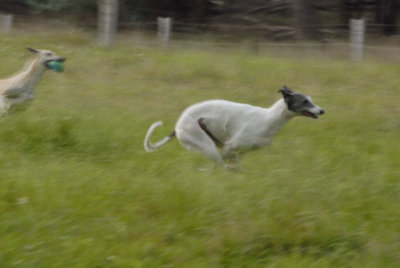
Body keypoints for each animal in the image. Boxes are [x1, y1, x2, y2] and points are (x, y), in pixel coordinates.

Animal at [145, 86, 324, 168]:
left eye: (311, 100)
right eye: (304, 101)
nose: (322, 111)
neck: (268, 119)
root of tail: (178, 125)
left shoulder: (238, 153)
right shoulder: (230, 147)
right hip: (207, 146)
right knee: (217, 166)